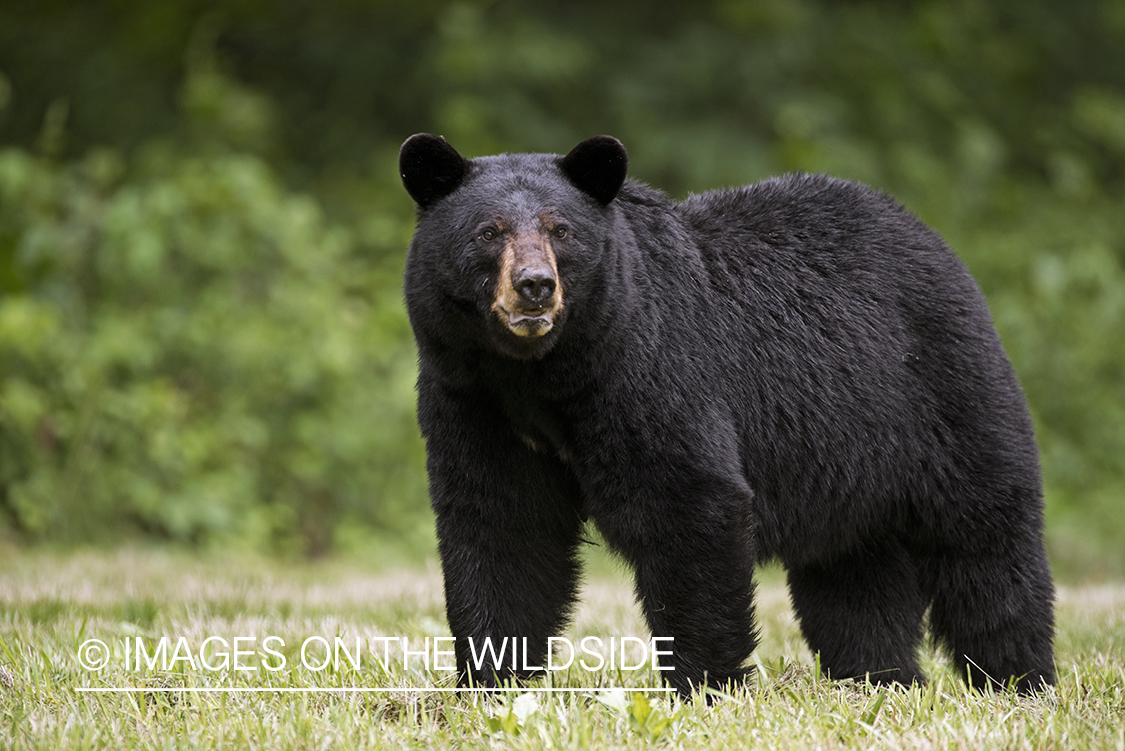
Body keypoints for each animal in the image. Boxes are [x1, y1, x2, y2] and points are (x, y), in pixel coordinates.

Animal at [398, 133, 1053, 697]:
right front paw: (491, 681)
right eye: (489, 231)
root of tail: (930, 236)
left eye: (561, 230)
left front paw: (705, 684)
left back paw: (1017, 679)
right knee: (853, 571)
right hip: (851, 455)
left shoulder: (650, 370)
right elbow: (500, 524)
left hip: (942, 391)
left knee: (984, 537)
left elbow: (689, 504)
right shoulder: (471, 399)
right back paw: (880, 677)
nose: (535, 286)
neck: (541, 376)